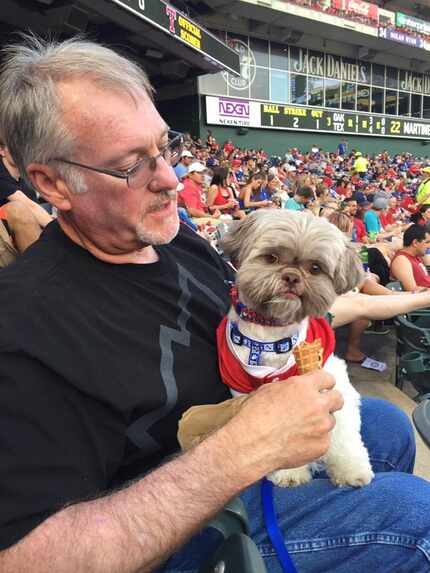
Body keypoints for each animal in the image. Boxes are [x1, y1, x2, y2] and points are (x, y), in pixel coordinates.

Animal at [217, 210, 374, 488]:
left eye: (315, 268)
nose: (291, 276)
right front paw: (289, 471)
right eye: (271, 258)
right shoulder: (245, 390)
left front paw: (350, 468)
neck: (272, 336)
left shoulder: (332, 380)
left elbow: (344, 433)